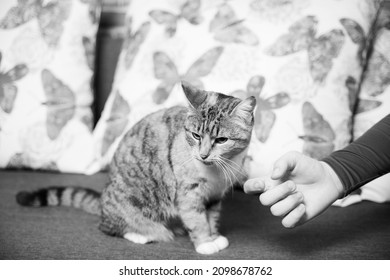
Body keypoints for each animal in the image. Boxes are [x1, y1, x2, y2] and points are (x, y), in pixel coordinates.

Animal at [16, 82, 256, 255]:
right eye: (196, 135)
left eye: (222, 140)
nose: (203, 154)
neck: (216, 170)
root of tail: (102, 202)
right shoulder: (188, 192)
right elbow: (197, 219)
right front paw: (205, 242)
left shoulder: (215, 194)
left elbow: (211, 216)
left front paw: (214, 236)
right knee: (110, 227)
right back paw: (141, 234)